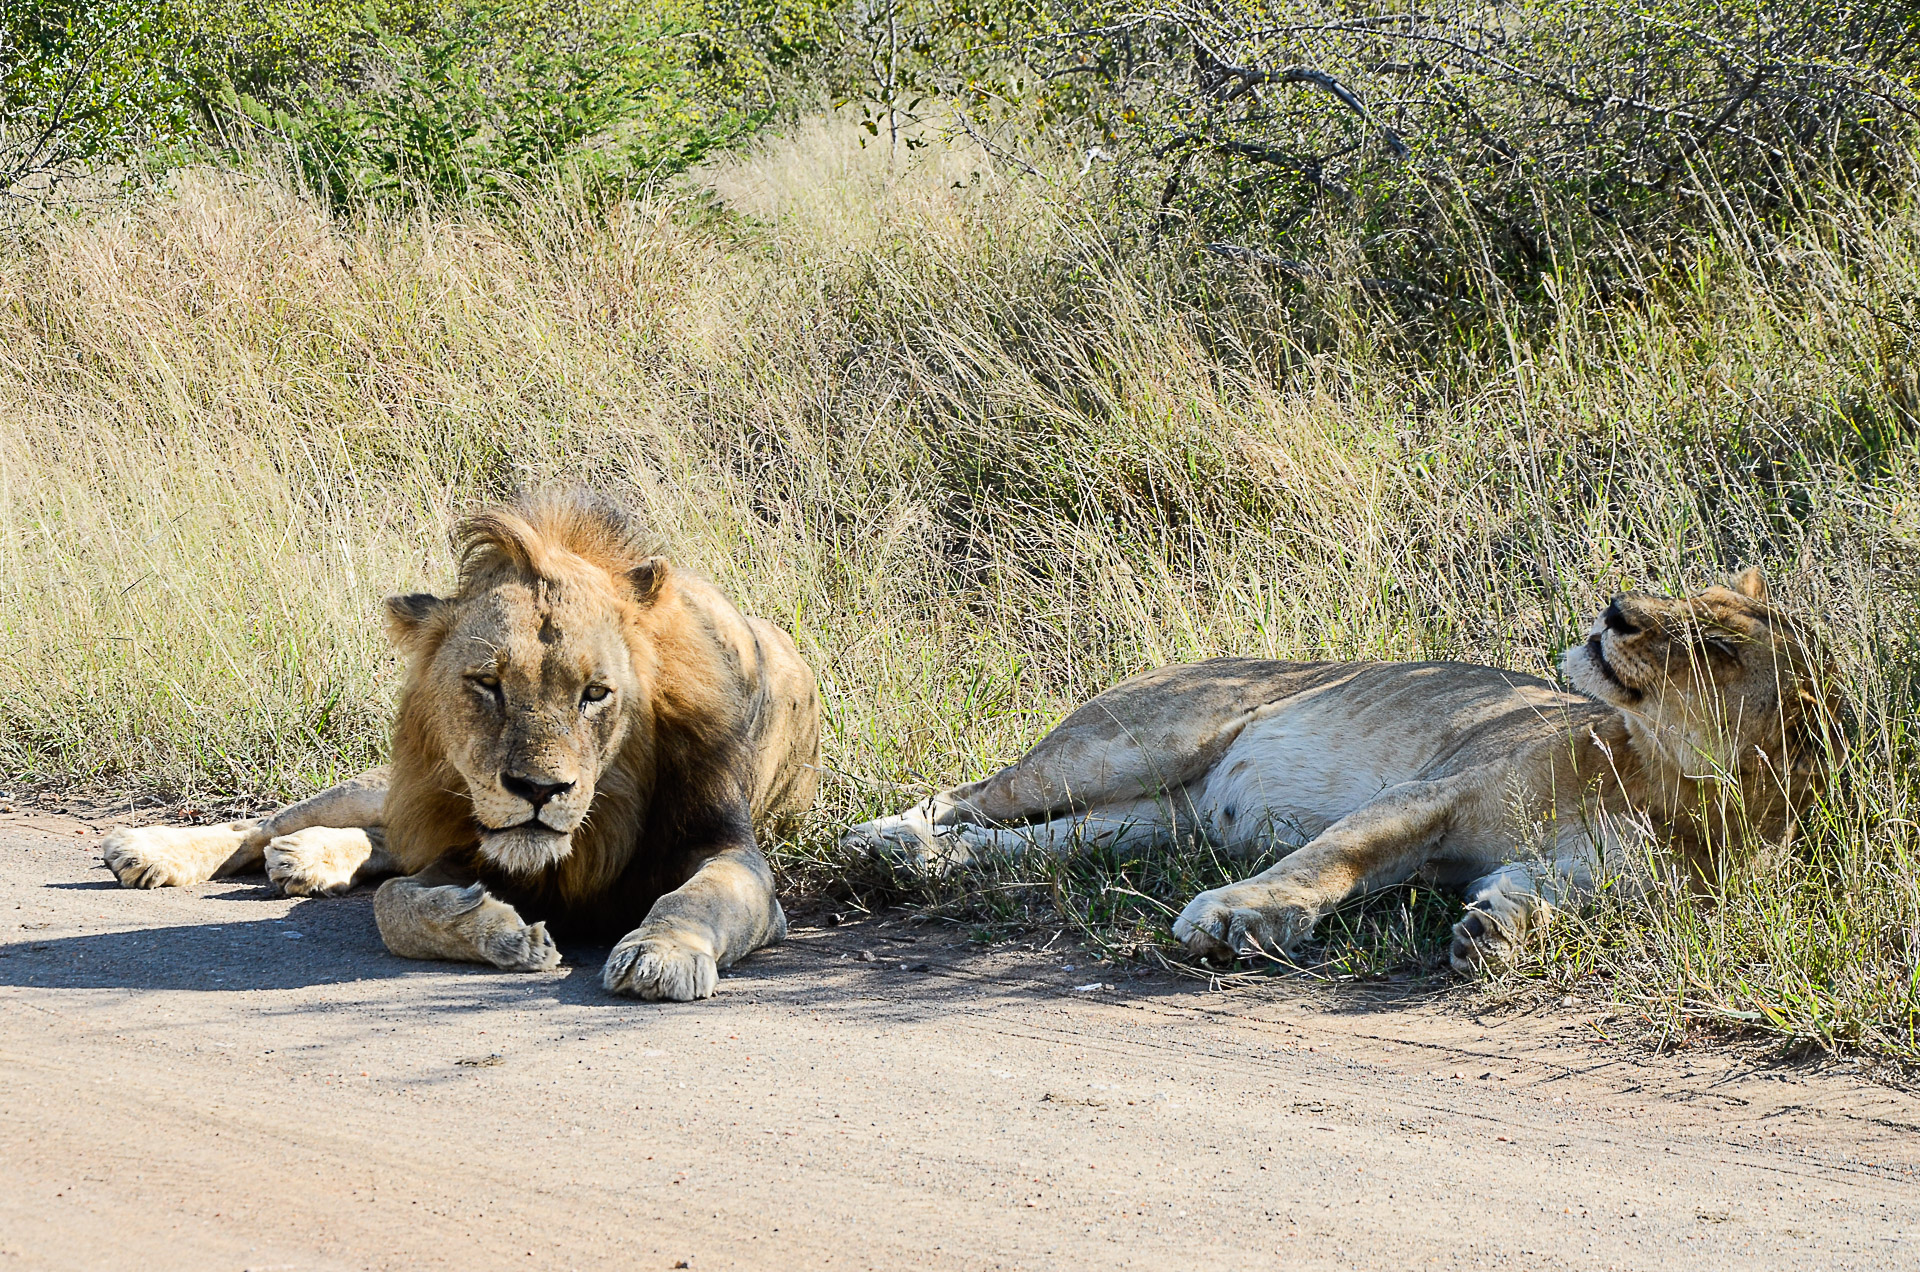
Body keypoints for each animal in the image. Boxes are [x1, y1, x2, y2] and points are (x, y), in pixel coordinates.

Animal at [103, 491, 817, 999]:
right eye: (487, 684)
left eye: (595, 694)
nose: (538, 791)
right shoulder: (464, 846)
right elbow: (394, 905)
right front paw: (505, 936)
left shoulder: (730, 851)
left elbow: (694, 895)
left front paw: (661, 955)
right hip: (404, 786)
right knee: (271, 824)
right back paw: (158, 850)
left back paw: (305, 858)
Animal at [848, 572, 1835, 972]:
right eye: (1685, 592)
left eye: (1717, 647)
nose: (1617, 609)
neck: (1670, 780)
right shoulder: (1432, 793)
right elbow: (1329, 861)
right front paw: (1236, 920)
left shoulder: (1608, 879)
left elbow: (1547, 897)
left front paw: (1496, 933)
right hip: (1130, 744)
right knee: (975, 792)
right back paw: (882, 837)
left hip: (1150, 821)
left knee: (1028, 845)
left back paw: (928, 862)